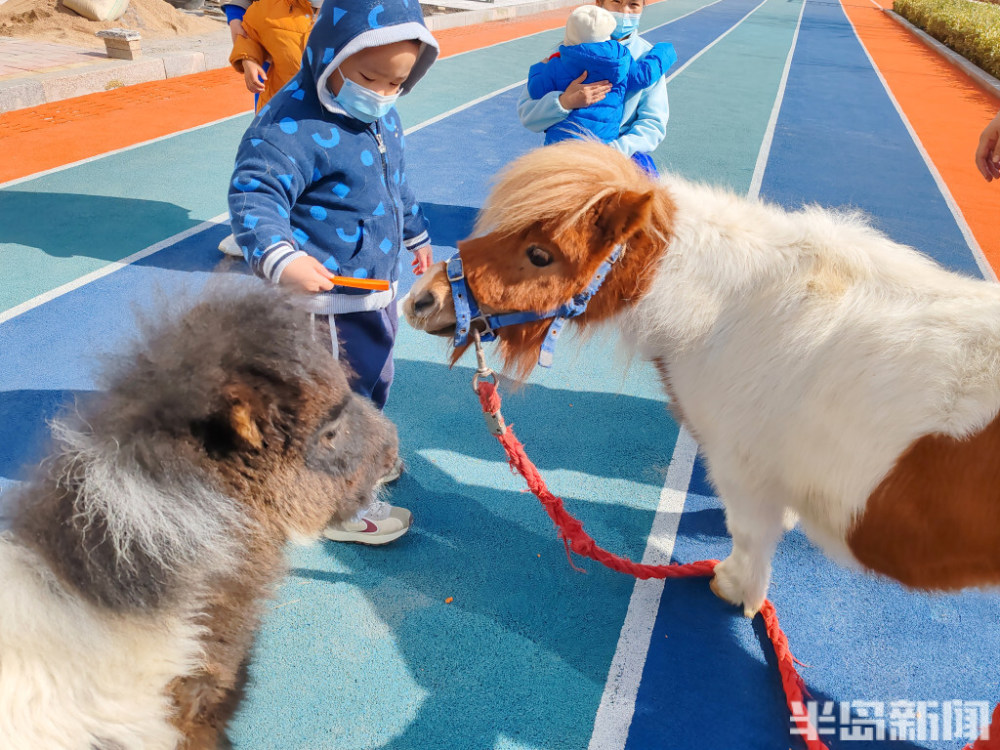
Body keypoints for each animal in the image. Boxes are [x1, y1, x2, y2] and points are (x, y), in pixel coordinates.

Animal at [402, 140, 1000, 616]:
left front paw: (735, 589)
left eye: (539, 254)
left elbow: (749, 536)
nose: (420, 300)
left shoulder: (742, 471)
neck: (730, 312)